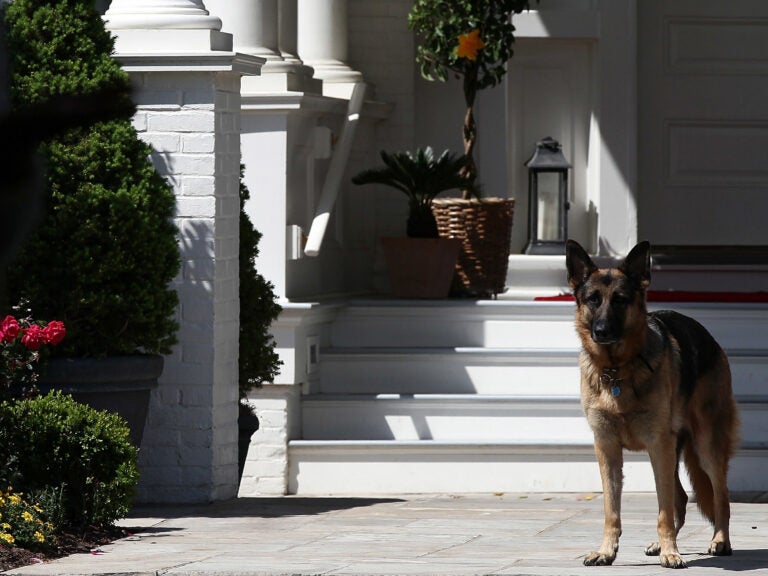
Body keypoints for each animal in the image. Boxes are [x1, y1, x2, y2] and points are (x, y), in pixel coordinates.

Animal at [568, 241, 740, 568]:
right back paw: (662, 544)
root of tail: (708, 336)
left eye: (620, 300)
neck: (616, 370)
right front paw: (607, 551)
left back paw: (719, 541)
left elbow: (664, 512)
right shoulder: (607, 448)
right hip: (670, 451)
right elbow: (612, 510)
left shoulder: (658, 445)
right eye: (593, 300)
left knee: (720, 496)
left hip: (704, 447)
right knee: (682, 498)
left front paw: (671, 552)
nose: (602, 331)